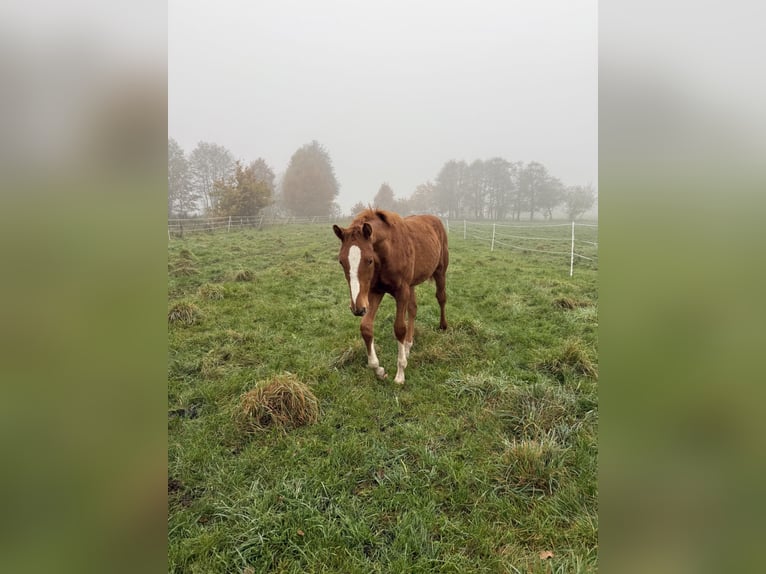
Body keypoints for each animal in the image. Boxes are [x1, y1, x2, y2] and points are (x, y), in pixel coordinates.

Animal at [333, 208, 448, 384]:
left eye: (369, 260)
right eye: (341, 261)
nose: (357, 308)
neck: (388, 253)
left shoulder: (401, 291)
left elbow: (399, 328)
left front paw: (400, 374)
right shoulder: (375, 292)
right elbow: (366, 327)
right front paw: (379, 370)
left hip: (440, 271)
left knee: (441, 298)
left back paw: (442, 326)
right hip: (411, 285)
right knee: (413, 309)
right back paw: (408, 345)